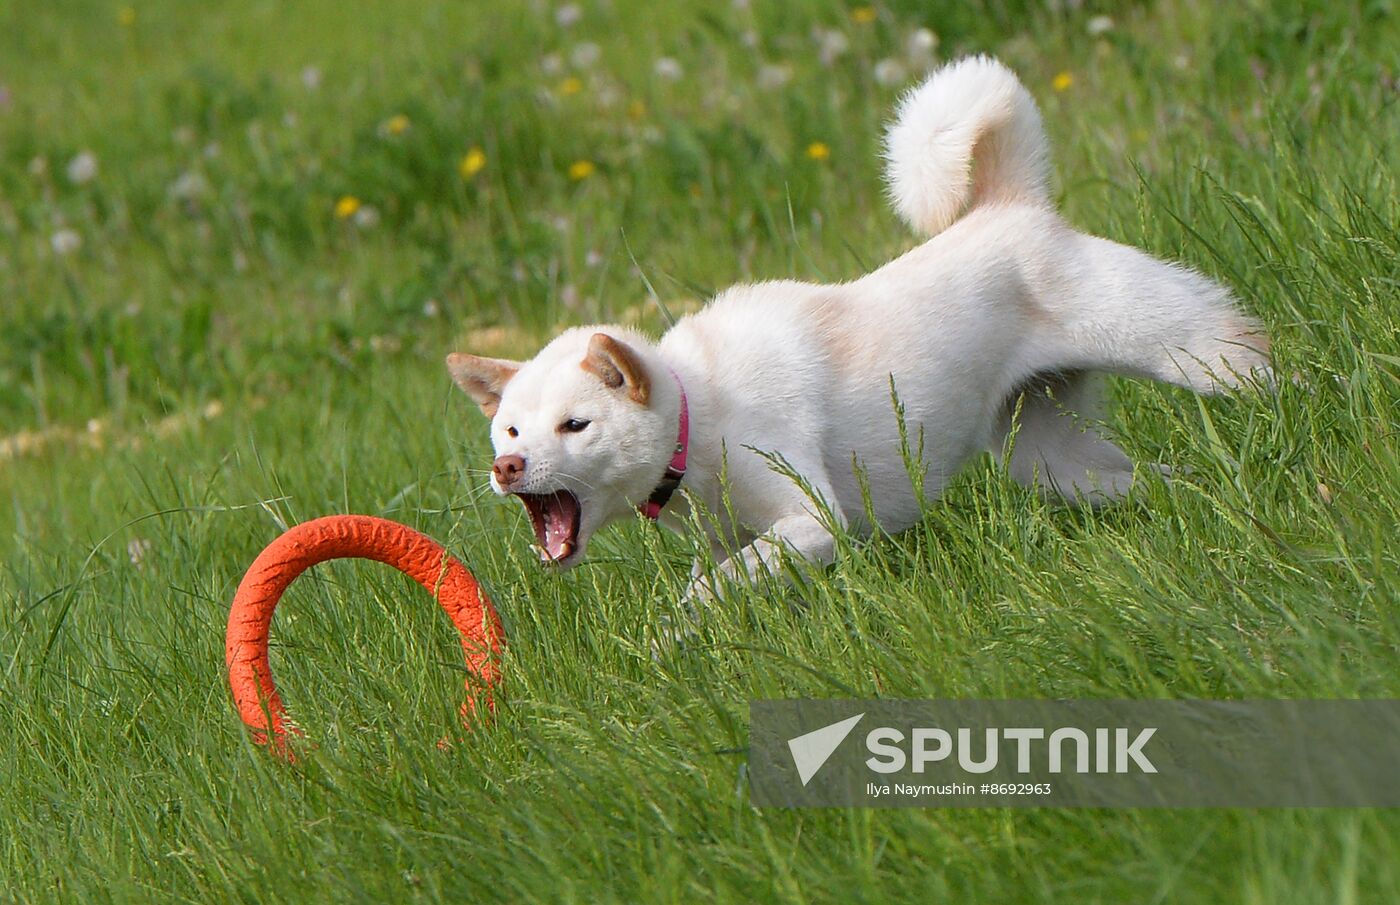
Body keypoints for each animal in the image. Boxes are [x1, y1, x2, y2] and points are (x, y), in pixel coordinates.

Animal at [448, 54, 1271, 602]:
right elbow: (717, 581)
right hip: (1052, 464)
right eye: (512, 431)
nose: (507, 468)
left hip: (1187, 352)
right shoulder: (730, 534)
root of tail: (1009, 203)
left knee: (1259, 364)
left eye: (576, 425)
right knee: (1153, 478)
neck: (695, 408)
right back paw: (1200, 498)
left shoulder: (815, 521)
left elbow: (709, 591)